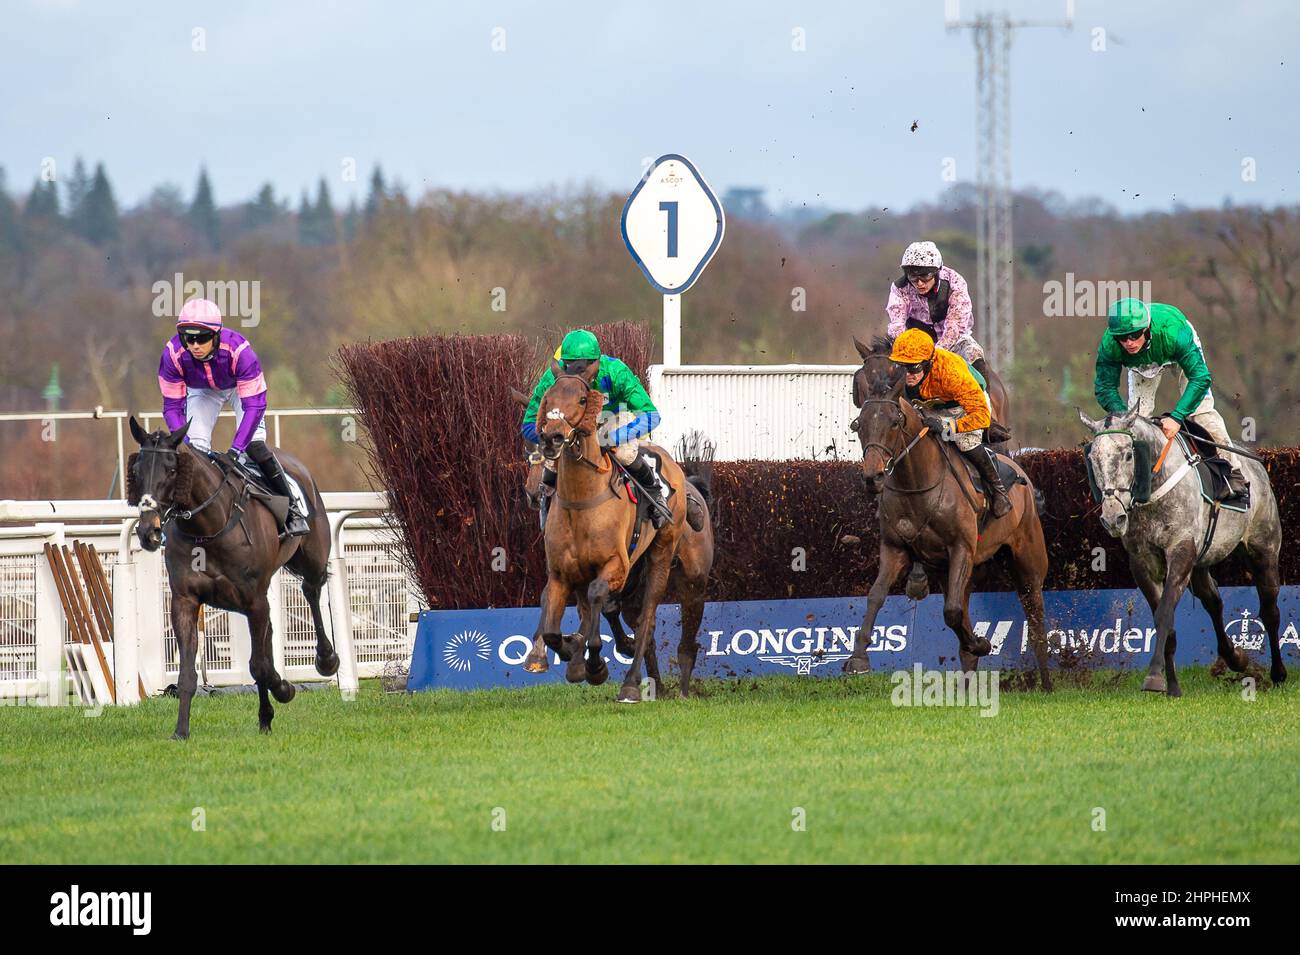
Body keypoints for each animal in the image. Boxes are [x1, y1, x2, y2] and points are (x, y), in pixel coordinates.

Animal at [126, 418, 338, 738]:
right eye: (136, 471)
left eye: (172, 470)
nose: (148, 531)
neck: (209, 528)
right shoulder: (185, 600)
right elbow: (188, 672)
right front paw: (181, 730)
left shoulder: (254, 600)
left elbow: (258, 667)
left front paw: (273, 705)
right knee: (271, 631)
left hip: (311, 558)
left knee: (311, 591)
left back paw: (326, 660)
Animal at [520, 366, 722, 701]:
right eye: (547, 397)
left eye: (583, 399)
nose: (553, 438)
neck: (582, 500)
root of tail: (686, 480)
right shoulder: (563, 572)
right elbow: (553, 626)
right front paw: (566, 655)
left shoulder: (614, 565)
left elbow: (596, 602)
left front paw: (593, 664)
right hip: (634, 583)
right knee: (639, 625)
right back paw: (655, 685)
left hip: (680, 570)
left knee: (656, 623)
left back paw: (649, 685)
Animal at [842, 335, 1055, 686]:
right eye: (859, 425)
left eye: (895, 423)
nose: (873, 477)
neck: (917, 483)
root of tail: (1018, 469)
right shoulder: (896, 548)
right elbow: (876, 595)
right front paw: (858, 657)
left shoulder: (961, 548)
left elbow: (952, 612)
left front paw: (982, 642)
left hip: (1027, 560)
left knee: (1034, 614)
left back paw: (1047, 681)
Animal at [1076, 402, 1279, 696]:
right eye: (1093, 459)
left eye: (1128, 455)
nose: (1113, 518)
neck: (1152, 491)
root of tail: (1256, 462)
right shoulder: (1143, 561)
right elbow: (1165, 619)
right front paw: (1171, 685)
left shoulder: (1181, 550)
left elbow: (1164, 614)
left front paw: (1153, 677)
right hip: (1201, 562)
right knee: (1214, 602)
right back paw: (1235, 657)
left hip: (1263, 548)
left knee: (1270, 609)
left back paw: (1278, 673)